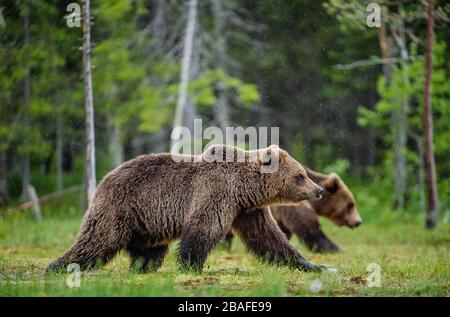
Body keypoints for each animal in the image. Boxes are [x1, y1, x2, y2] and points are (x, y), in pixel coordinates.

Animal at [47, 143, 326, 272]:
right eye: (300, 176)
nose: (319, 190)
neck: (244, 188)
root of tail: (103, 180)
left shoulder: (247, 210)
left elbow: (268, 237)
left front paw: (313, 265)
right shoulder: (216, 194)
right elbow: (203, 229)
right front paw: (190, 265)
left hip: (148, 222)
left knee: (148, 249)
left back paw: (143, 267)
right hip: (121, 205)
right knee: (98, 239)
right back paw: (59, 266)